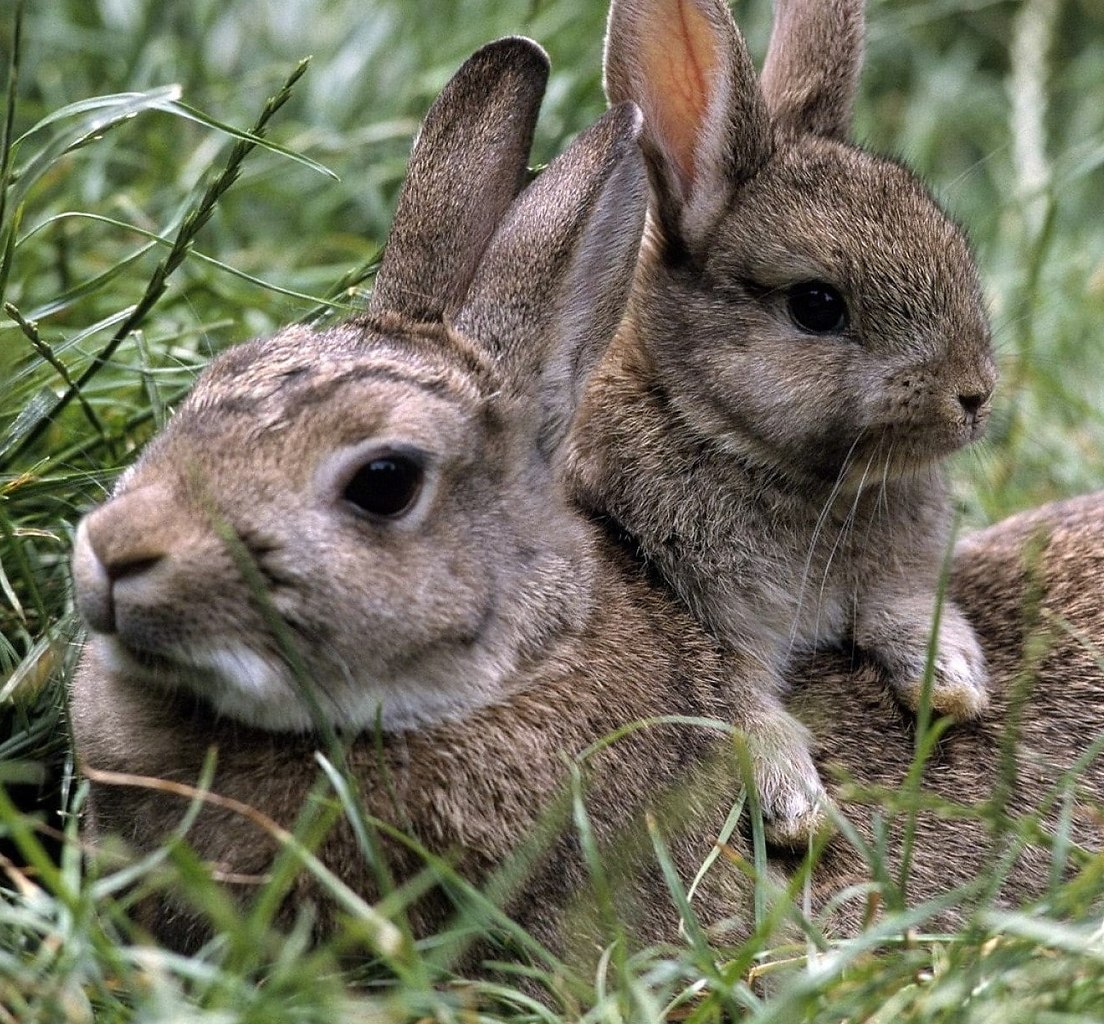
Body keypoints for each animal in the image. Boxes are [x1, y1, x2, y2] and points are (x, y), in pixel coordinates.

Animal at [565, 0, 998, 843]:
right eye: (816, 306)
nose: (974, 395)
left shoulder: (894, 577)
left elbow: (903, 610)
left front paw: (952, 680)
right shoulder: (700, 614)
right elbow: (735, 702)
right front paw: (797, 806)